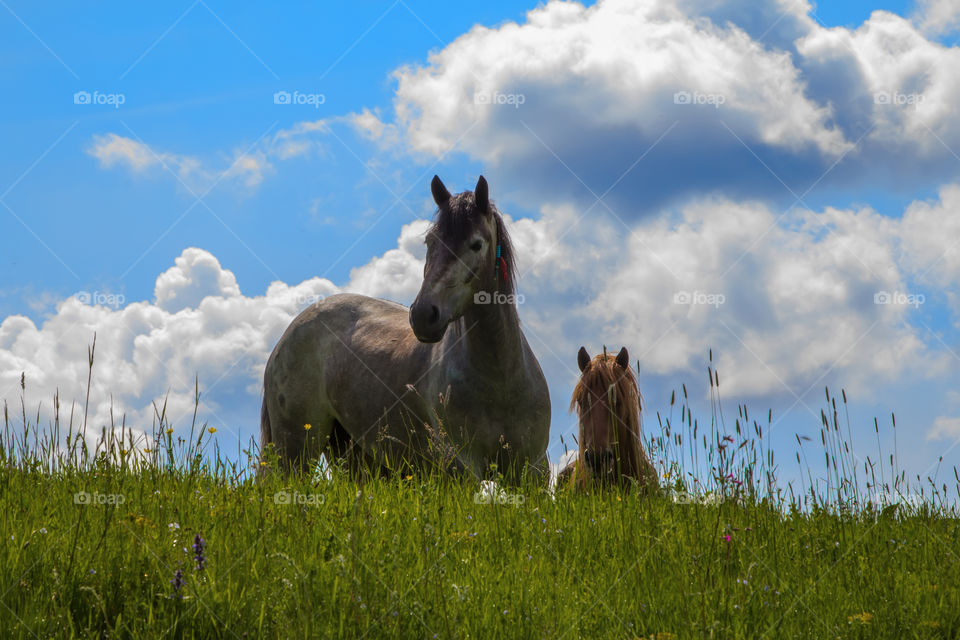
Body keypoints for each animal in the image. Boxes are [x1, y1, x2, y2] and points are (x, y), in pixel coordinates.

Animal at [258, 175, 552, 480]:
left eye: (476, 245)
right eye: (430, 241)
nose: (423, 315)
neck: (501, 381)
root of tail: (290, 332)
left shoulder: (533, 471)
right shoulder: (460, 469)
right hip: (295, 453)